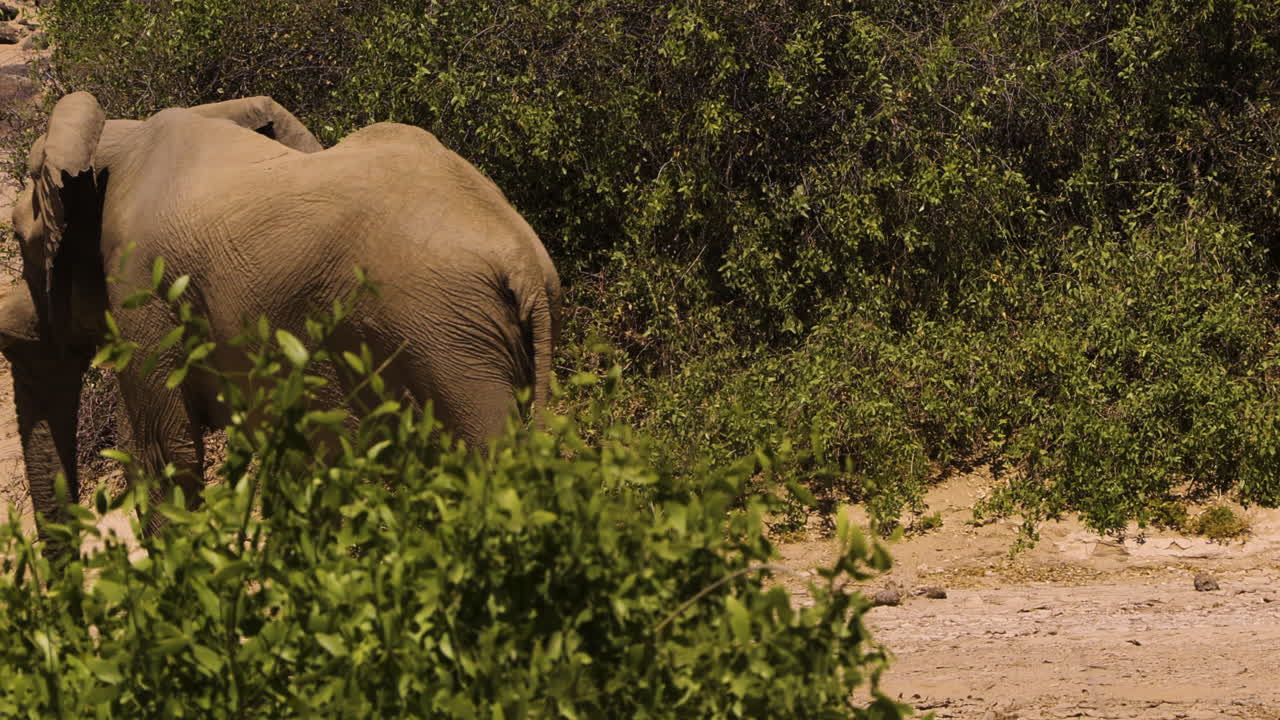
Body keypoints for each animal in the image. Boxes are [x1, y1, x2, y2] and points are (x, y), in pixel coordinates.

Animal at [0, 92, 561, 545]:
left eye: (22, 241)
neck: (116, 138)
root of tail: (524, 262)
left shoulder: (144, 283)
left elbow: (165, 454)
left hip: (450, 342)